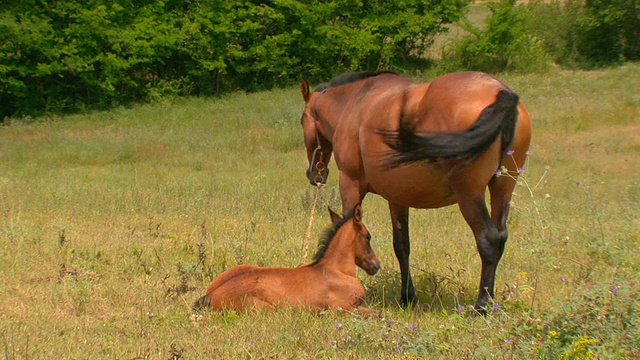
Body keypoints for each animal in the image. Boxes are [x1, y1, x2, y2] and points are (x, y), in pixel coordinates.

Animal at [190, 204, 380, 316]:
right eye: (368, 236)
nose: (376, 265)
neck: (336, 270)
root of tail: (210, 295)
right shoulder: (341, 309)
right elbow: (378, 314)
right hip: (267, 310)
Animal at [300, 71, 528, 312]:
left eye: (302, 121)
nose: (315, 175)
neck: (355, 102)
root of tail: (502, 92)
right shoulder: (397, 198)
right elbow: (402, 246)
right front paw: (408, 297)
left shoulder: (350, 185)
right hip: (502, 189)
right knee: (501, 238)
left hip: (469, 195)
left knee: (489, 240)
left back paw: (482, 306)